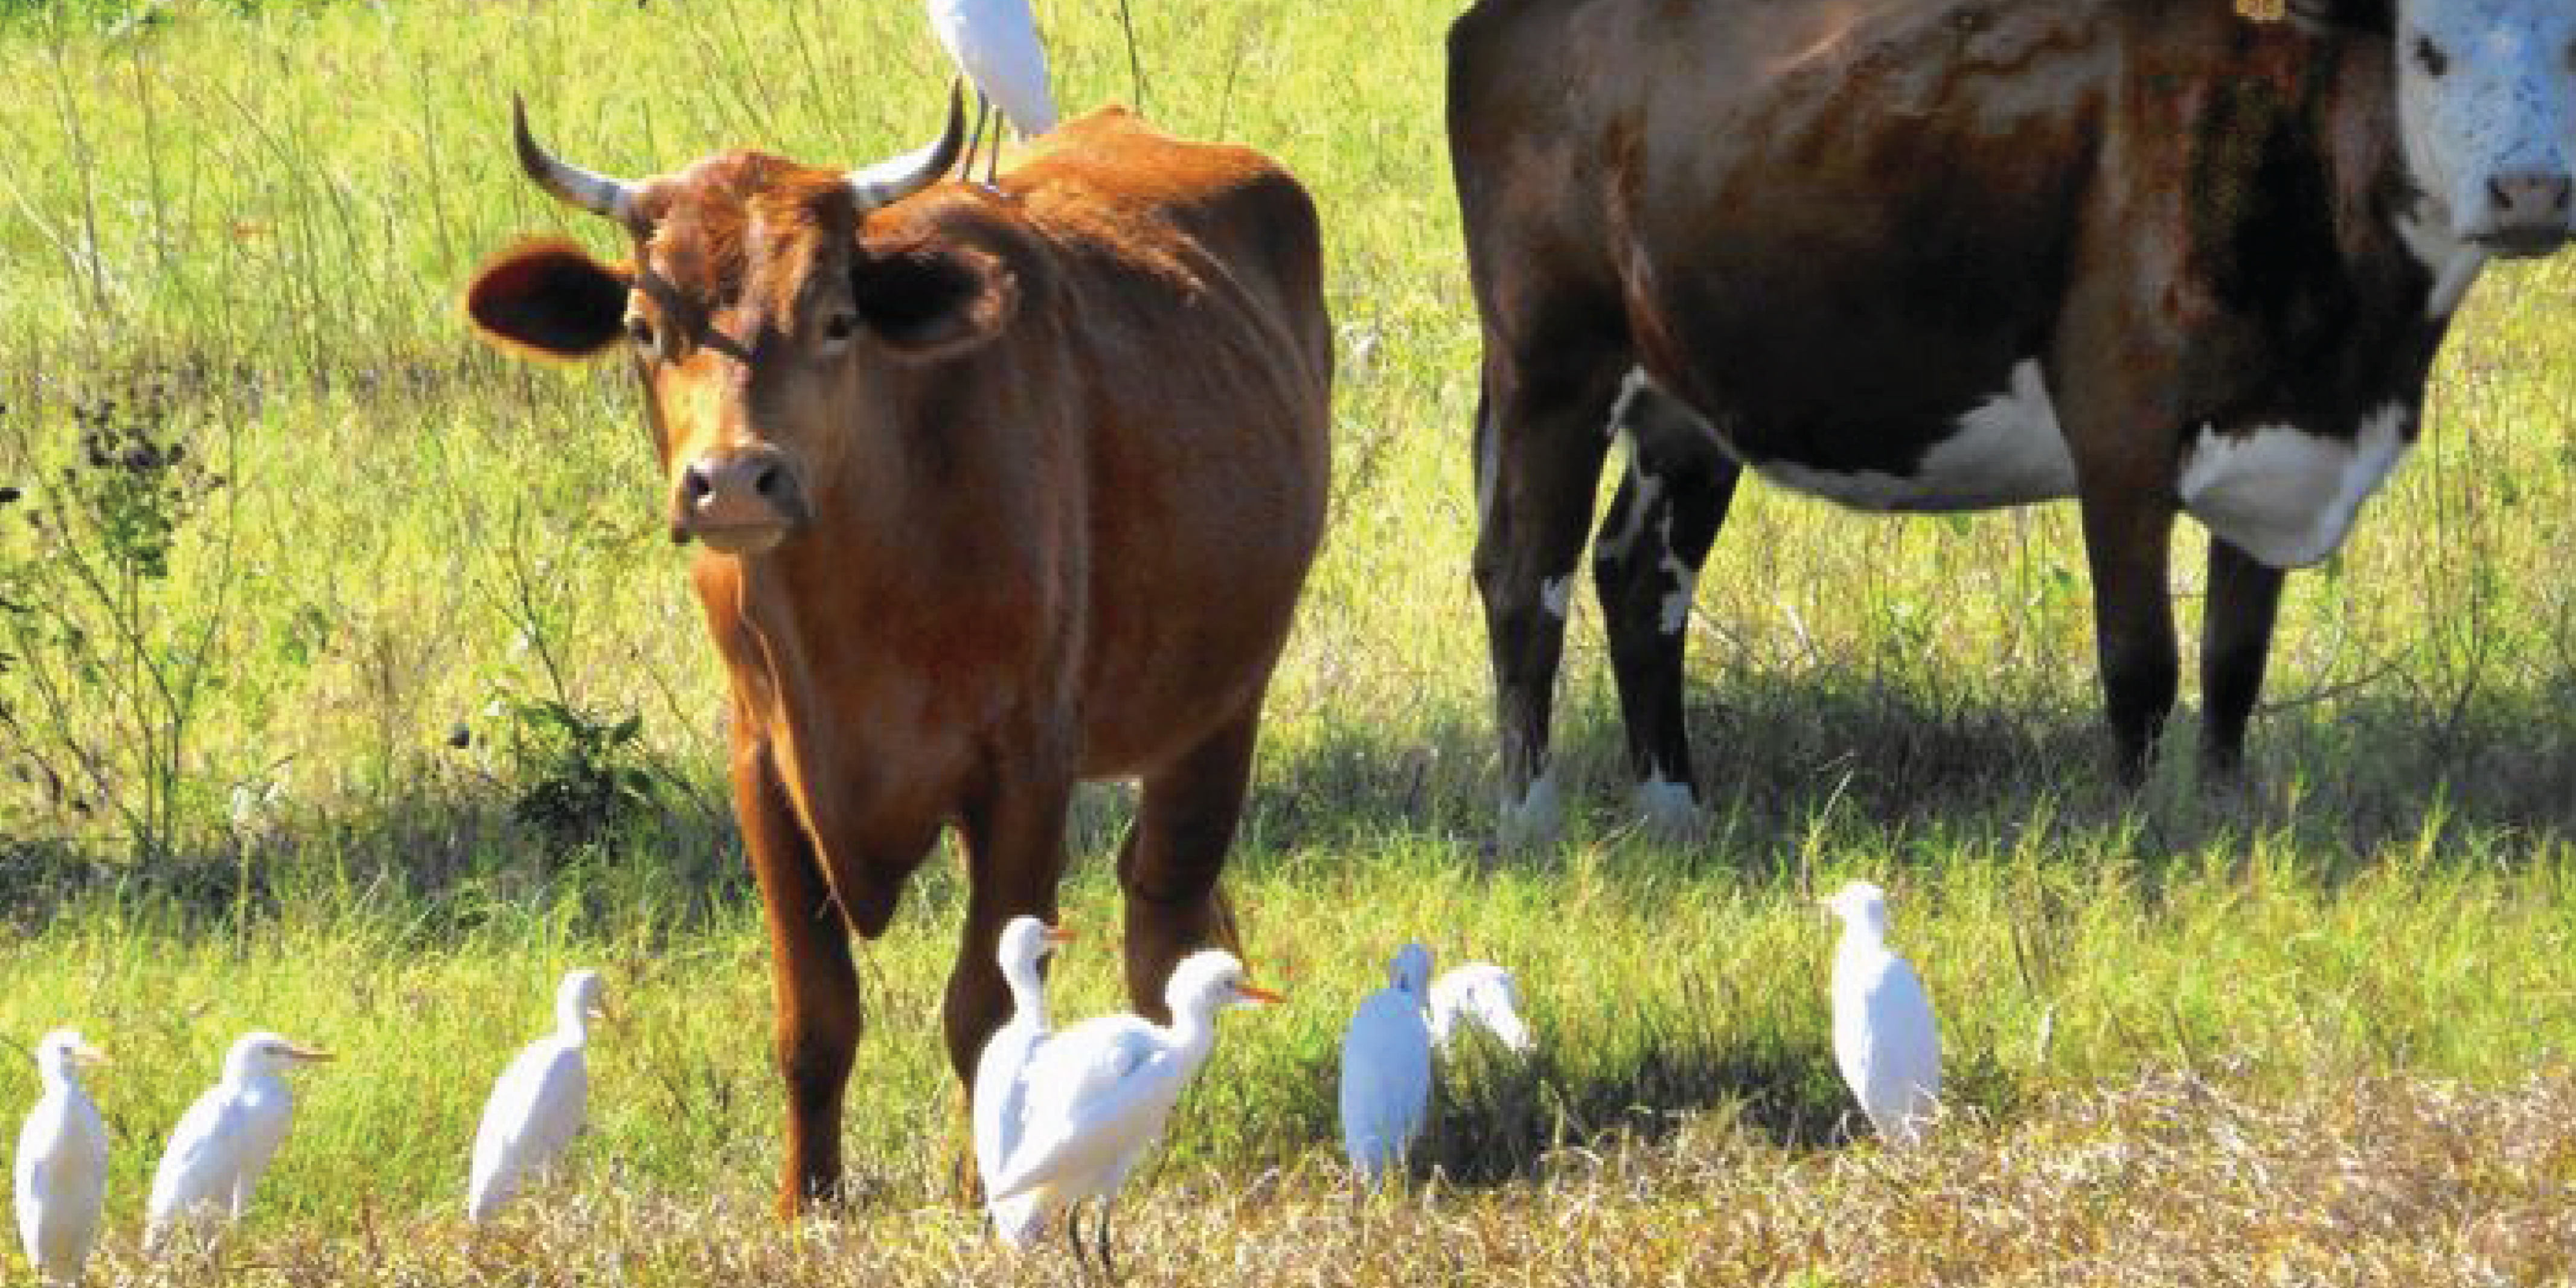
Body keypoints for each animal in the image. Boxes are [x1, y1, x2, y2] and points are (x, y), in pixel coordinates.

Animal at [462, 87, 1331, 1212]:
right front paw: (805, 1200)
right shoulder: (763, 764)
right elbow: (815, 1013)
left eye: (837, 320)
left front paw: (985, 1184)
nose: (733, 481)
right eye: (644, 330)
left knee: (1165, 903)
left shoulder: (1024, 766)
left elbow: (984, 1008)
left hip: (1223, 700)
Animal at [1448, 0, 2576, 849]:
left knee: (1641, 578)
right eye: (2428, 52)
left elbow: (2232, 666)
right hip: (1553, 365)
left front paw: (2221, 822)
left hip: (1686, 400)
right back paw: (1531, 821)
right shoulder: (2122, 438)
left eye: (2572, 47)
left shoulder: (2273, 453)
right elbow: (2141, 665)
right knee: (1525, 577)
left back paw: (1674, 812)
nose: (2529, 190)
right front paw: (2136, 841)